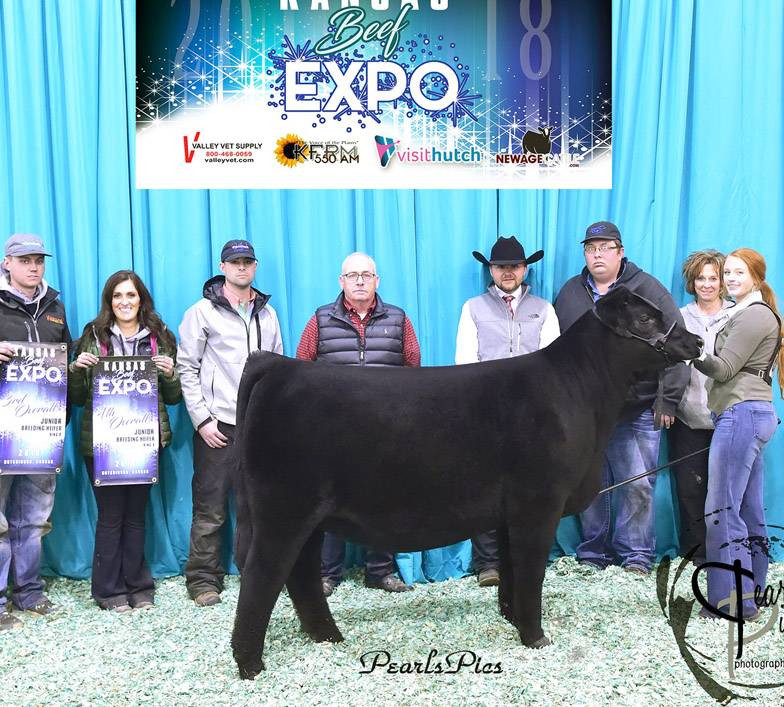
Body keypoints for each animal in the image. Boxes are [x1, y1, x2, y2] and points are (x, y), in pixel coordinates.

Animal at [229, 287, 703, 679]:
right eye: (646, 319)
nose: (696, 342)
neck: (579, 393)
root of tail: (280, 366)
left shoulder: (511, 511)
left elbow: (511, 568)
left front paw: (512, 618)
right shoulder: (539, 503)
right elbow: (531, 570)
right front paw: (536, 637)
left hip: (307, 515)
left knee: (301, 574)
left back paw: (327, 636)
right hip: (282, 509)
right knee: (262, 575)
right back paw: (250, 663)